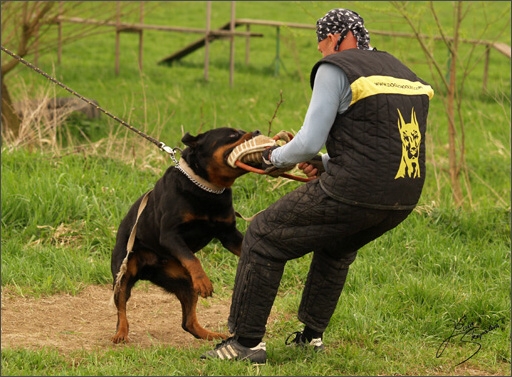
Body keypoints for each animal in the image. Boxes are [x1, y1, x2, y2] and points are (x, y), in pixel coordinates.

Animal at [112, 127, 262, 344]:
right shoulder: (170, 234)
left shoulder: (228, 234)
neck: (207, 189)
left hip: (183, 282)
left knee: (188, 322)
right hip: (122, 274)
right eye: (233, 134)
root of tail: (148, 270)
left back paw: (210, 335)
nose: (257, 131)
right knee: (121, 309)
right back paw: (121, 333)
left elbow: (242, 245)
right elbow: (192, 259)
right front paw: (204, 281)